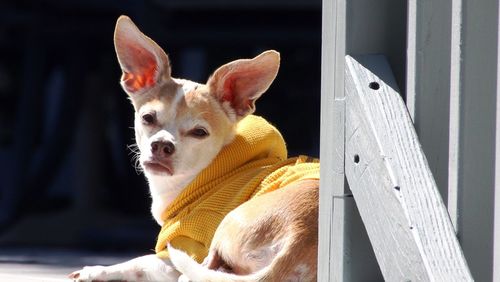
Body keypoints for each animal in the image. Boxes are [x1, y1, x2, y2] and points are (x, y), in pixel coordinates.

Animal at [69, 16, 320, 282]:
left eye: (199, 132)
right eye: (148, 118)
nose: (162, 145)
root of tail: (298, 239)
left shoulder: (182, 249)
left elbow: (141, 262)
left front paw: (97, 270)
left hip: (226, 223)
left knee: (200, 271)